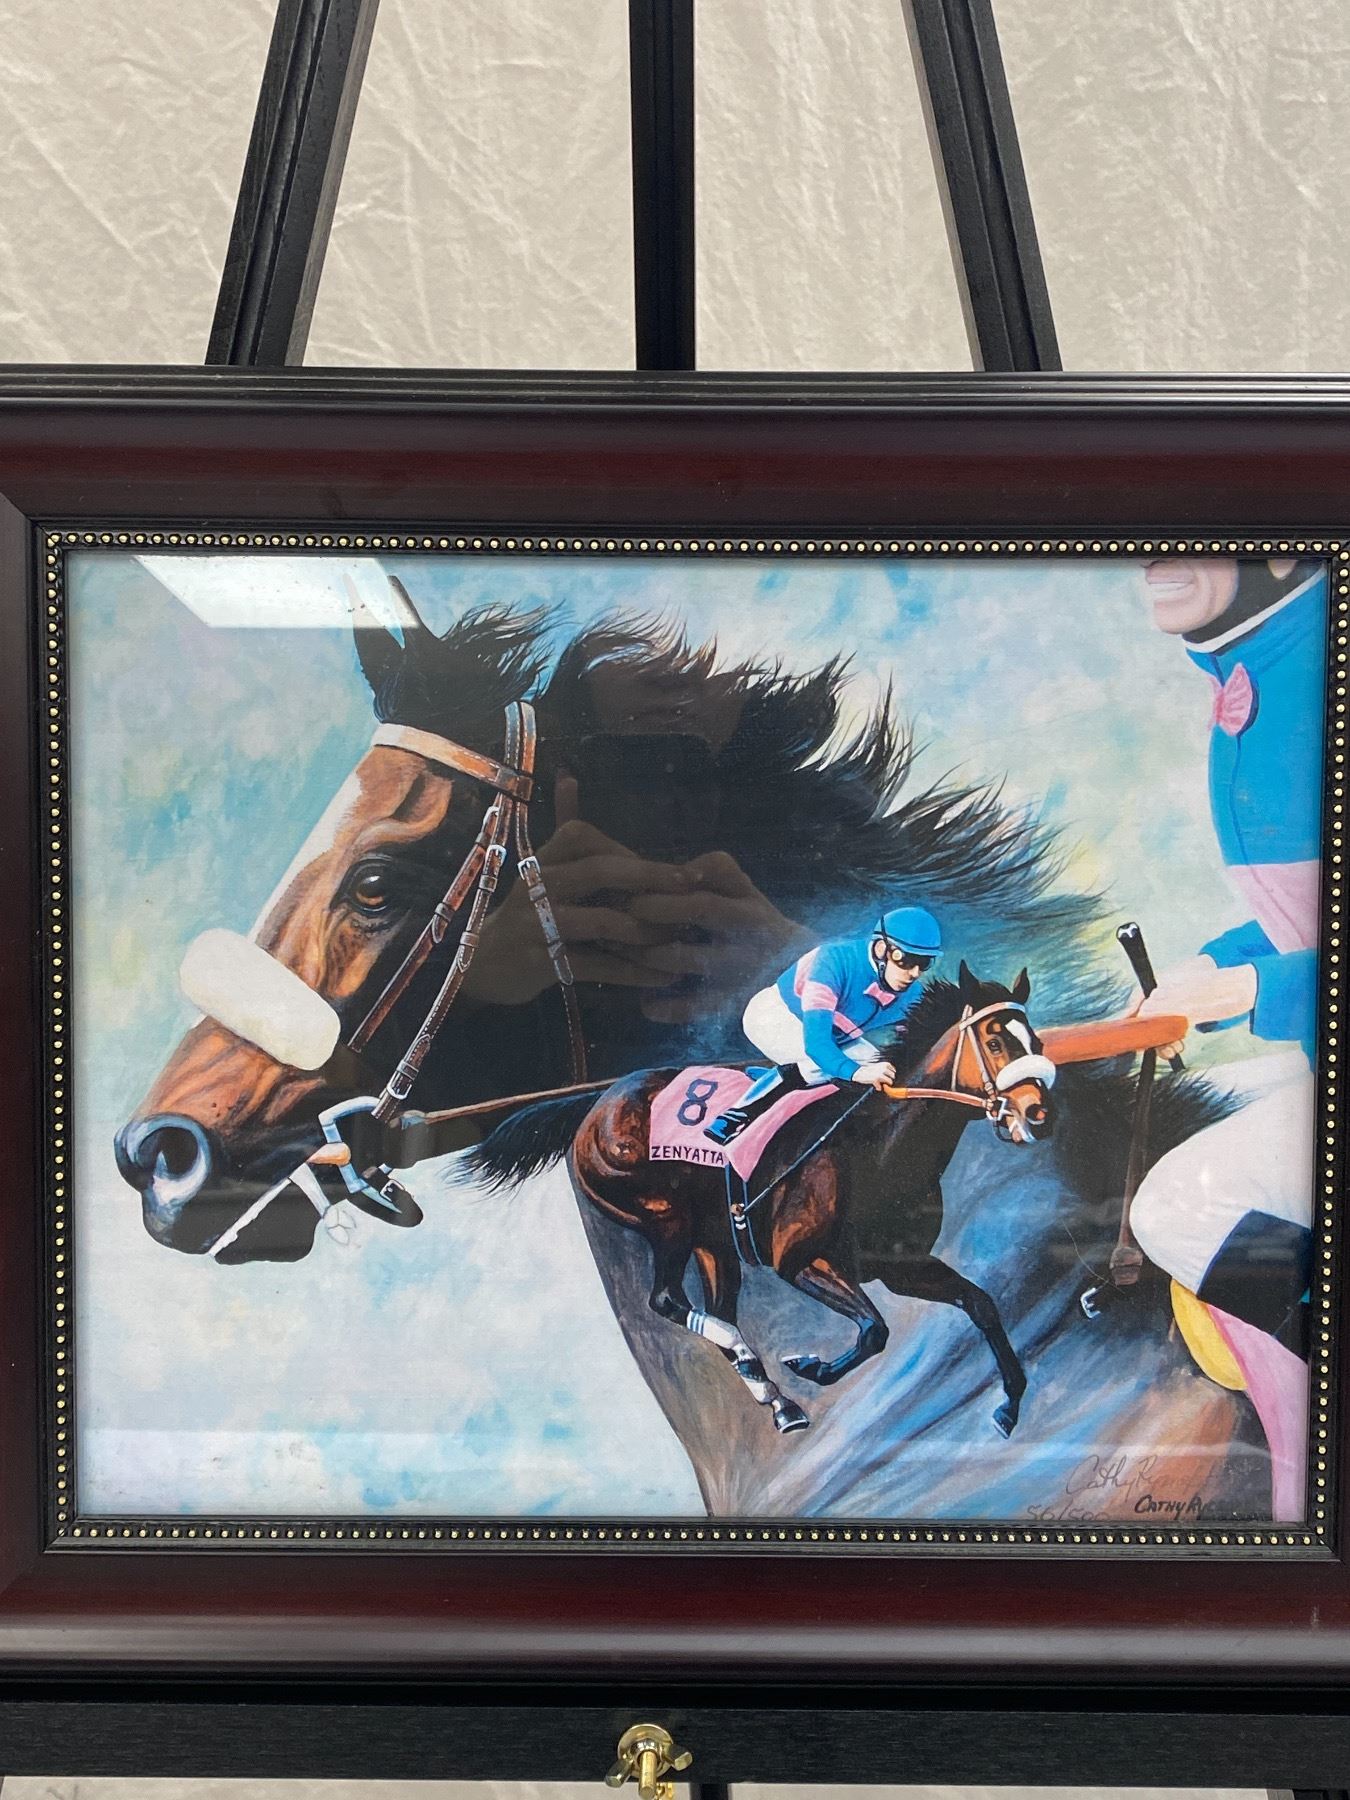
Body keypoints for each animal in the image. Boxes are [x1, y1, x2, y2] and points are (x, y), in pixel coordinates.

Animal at [465, 964, 1055, 1438]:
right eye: (996, 1042)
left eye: (1038, 1042)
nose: (1038, 1115)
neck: (875, 1147)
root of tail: (597, 1101)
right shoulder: (798, 1261)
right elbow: (875, 1331)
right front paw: (813, 1367)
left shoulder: (901, 1266)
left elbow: (979, 1303)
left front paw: (1009, 1405)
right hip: (660, 1218)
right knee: (668, 1301)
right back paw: (760, 1371)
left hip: (714, 1245)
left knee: (714, 1310)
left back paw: (774, 1398)